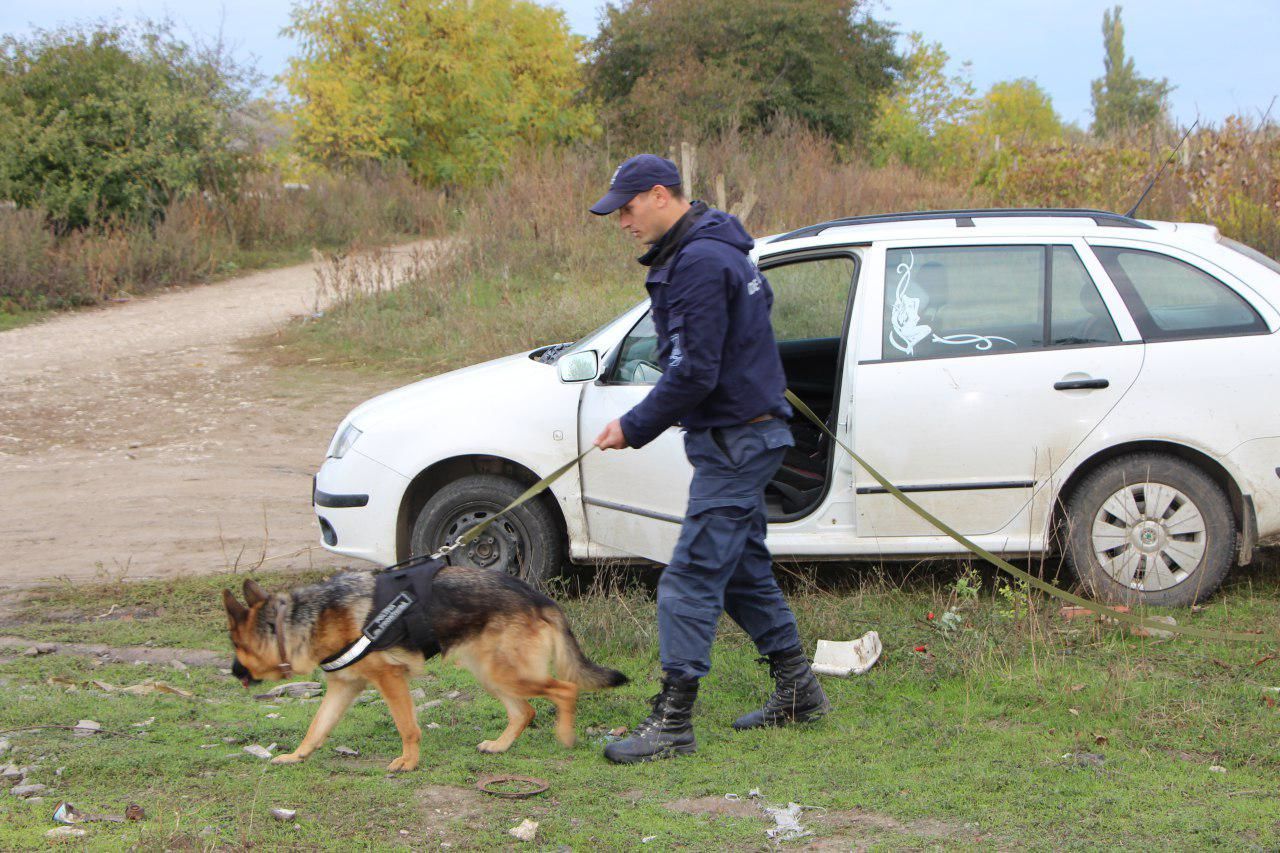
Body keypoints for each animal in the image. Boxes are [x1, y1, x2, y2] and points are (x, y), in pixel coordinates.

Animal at [222, 563, 627, 768]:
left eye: (236, 645)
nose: (233, 672)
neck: (301, 621)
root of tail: (541, 599)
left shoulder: (390, 679)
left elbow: (407, 727)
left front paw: (409, 762)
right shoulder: (343, 687)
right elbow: (316, 728)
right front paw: (296, 755)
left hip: (507, 674)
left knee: (566, 689)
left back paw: (565, 735)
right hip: (491, 674)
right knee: (525, 711)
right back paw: (500, 746)